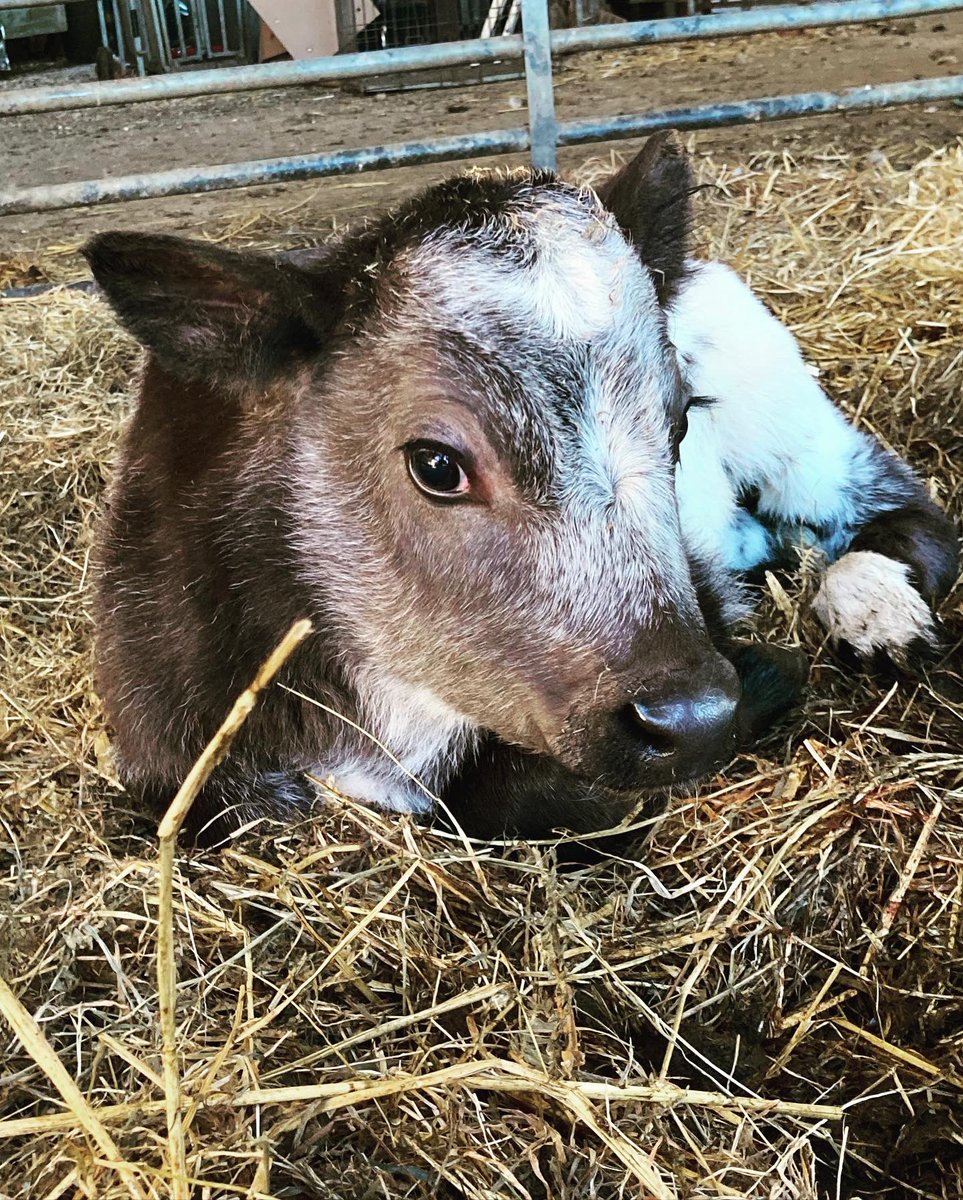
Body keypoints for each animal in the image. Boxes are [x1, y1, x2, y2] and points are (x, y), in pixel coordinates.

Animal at [84, 132, 959, 844]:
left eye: (678, 424)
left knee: (900, 509)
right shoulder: (161, 743)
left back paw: (874, 607)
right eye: (436, 465)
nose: (694, 721)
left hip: (794, 423)